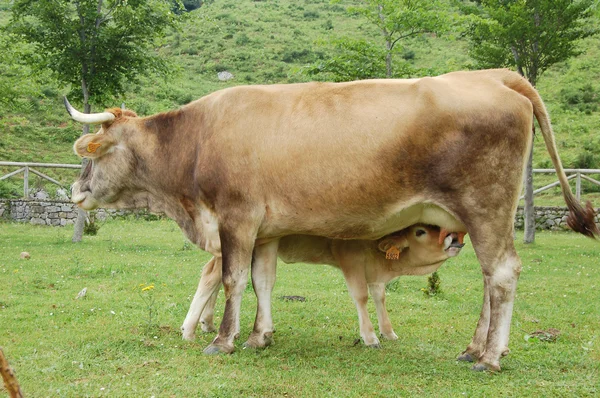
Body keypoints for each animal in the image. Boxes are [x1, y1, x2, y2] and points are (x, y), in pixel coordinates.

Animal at [180, 224, 466, 348]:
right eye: (420, 231)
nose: (455, 239)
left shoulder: (373, 273)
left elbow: (379, 296)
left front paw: (388, 331)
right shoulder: (350, 258)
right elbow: (361, 296)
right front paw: (370, 337)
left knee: (215, 276)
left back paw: (208, 322)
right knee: (211, 275)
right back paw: (190, 328)